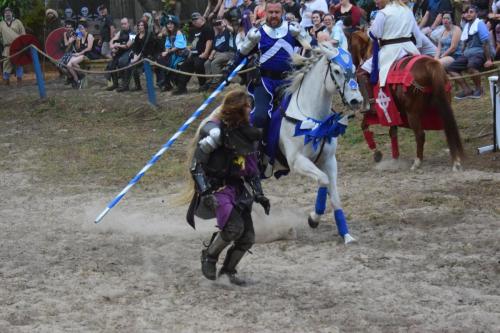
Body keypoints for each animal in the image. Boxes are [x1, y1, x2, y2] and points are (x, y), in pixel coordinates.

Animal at [278, 42, 364, 243]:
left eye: (353, 68)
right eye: (337, 70)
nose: (356, 100)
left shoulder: (329, 161)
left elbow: (334, 195)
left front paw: (346, 235)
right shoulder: (297, 162)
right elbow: (323, 180)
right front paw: (313, 218)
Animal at [350, 29, 462, 170]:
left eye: (351, 45)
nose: (353, 64)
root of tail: (430, 64)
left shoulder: (376, 112)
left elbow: (364, 126)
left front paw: (377, 153)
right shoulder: (391, 112)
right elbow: (392, 132)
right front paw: (394, 157)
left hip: (412, 113)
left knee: (420, 135)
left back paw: (417, 162)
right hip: (442, 105)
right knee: (448, 128)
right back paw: (455, 161)